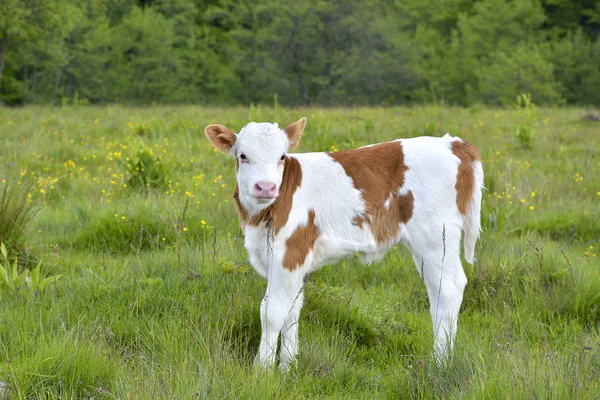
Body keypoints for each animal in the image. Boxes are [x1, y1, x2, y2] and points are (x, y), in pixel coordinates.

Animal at [205, 118, 482, 368]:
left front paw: (262, 371)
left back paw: (440, 362)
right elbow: (292, 309)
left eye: (282, 156)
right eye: (242, 155)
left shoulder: (290, 253)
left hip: (436, 236)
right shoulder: (288, 259)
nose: (265, 187)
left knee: (448, 289)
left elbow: (272, 312)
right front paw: (287, 367)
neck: (258, 220)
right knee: (438, 293)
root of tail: (453, 143)